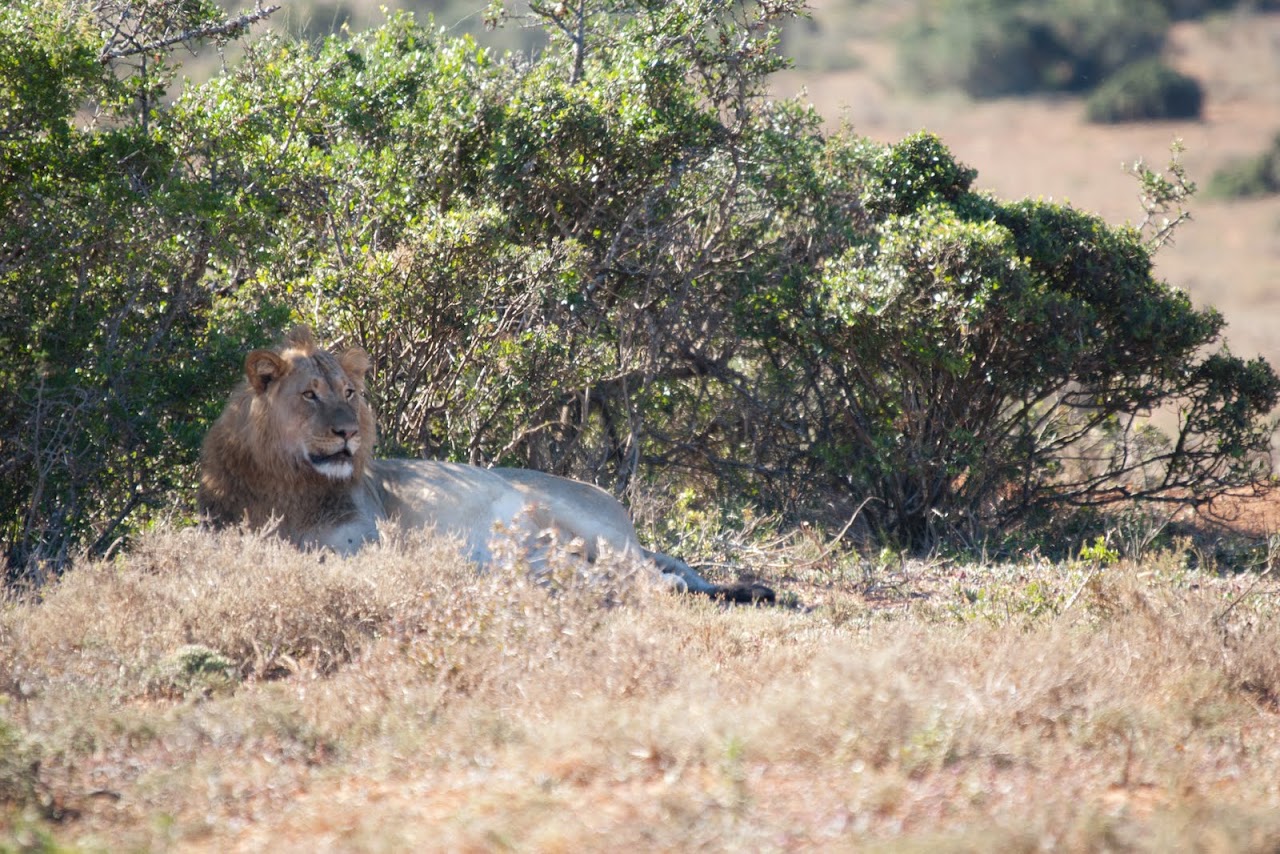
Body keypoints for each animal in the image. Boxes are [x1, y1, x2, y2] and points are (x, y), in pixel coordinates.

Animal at [197, 326, 774, 603]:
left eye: (350, 393)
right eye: (310, 394)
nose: (348, 433)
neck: (290, 483)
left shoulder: (372, 539)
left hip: (570, 519)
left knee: (650, 577)